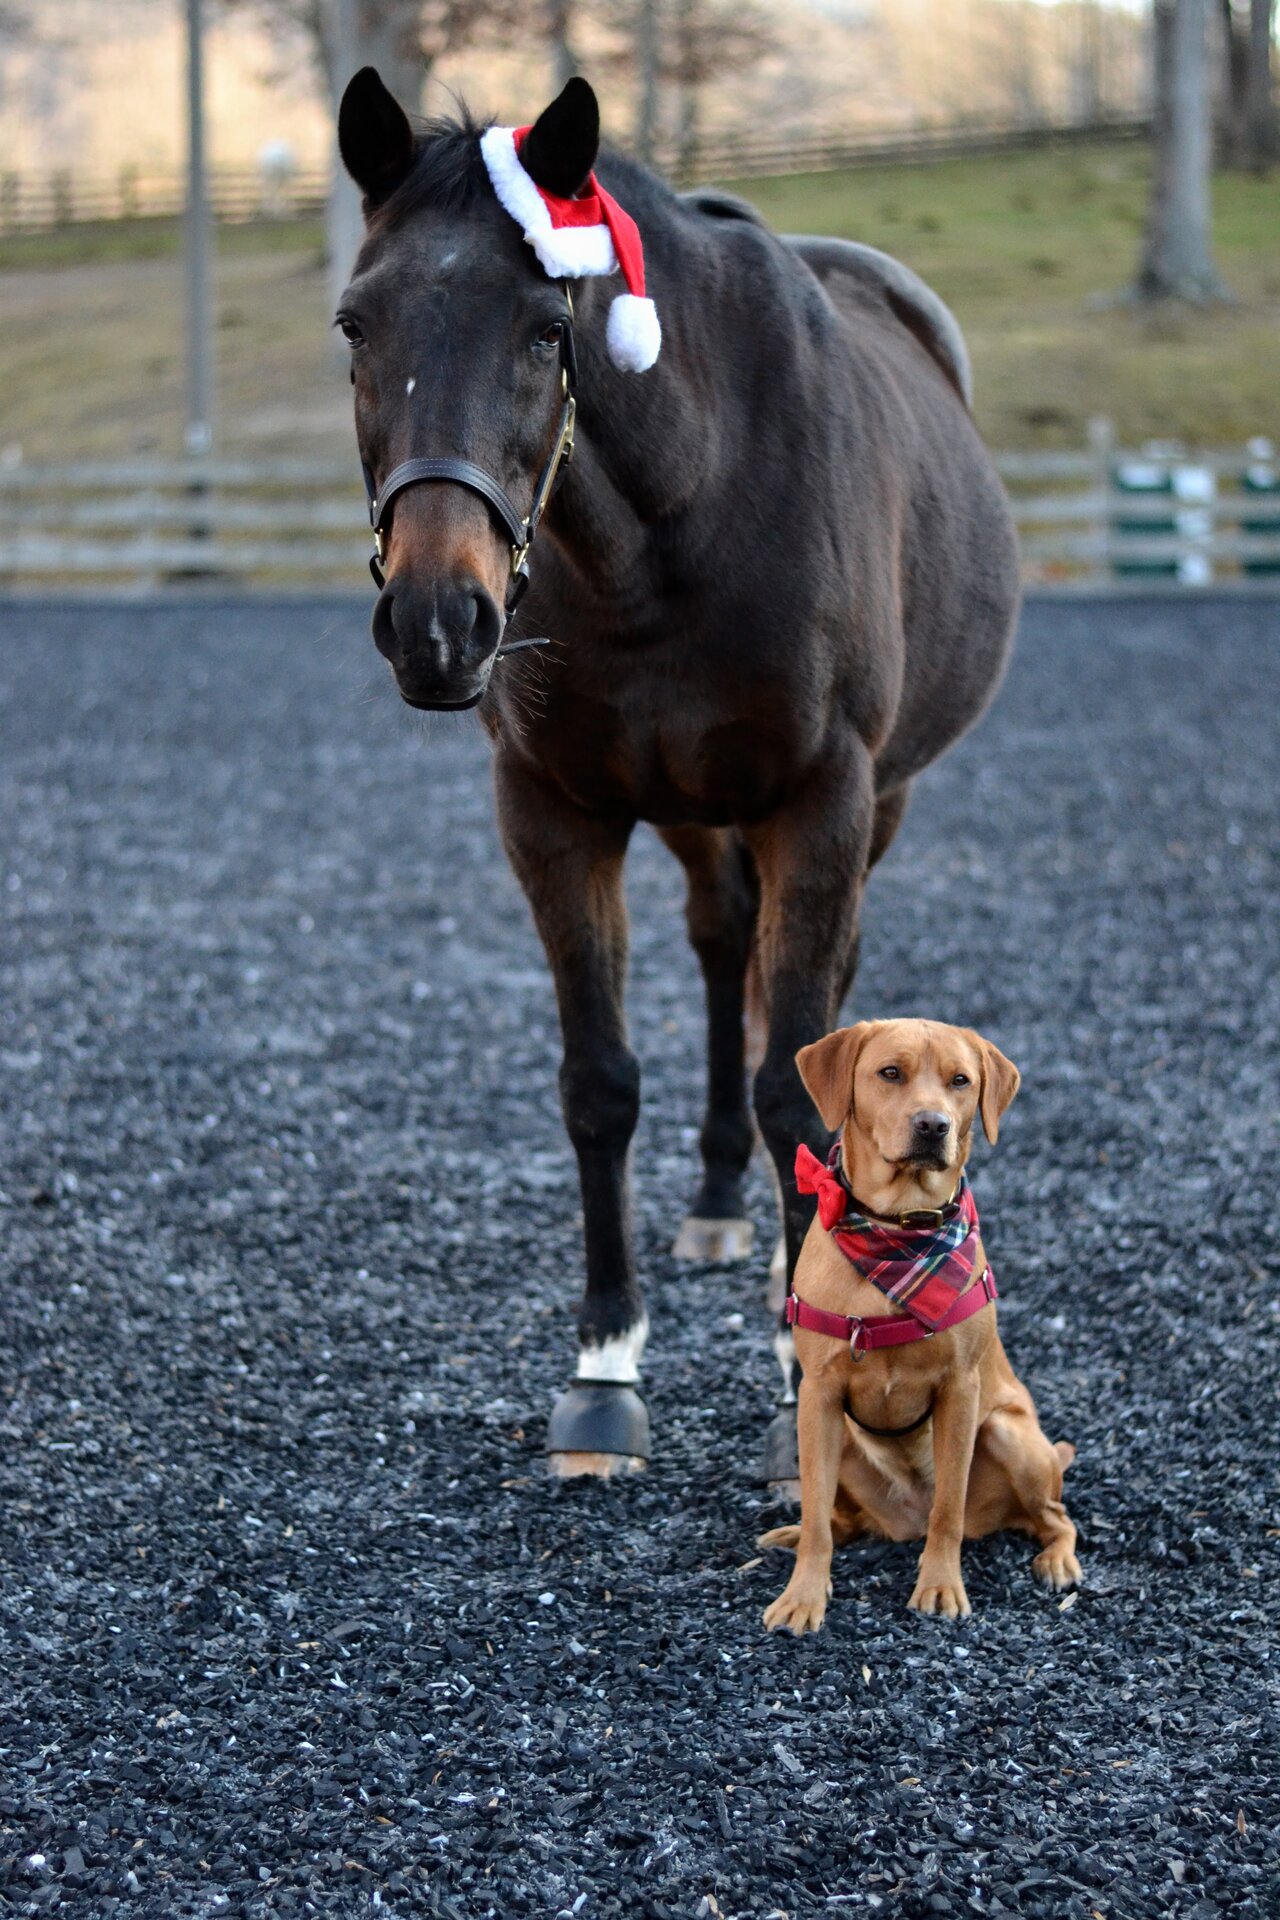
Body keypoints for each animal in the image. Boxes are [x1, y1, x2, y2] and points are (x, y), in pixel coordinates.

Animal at [334, 70, 1020, 1479]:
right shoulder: (553, 813)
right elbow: (598, 1086)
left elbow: (797, 1086)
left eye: (548, 329)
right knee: (720, 946)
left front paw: (797, 1359)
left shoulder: (820, 801)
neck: (673, 524)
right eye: (354, 324)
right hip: (700, 815)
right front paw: (603, 1371)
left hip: (872, 804)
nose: (437, 624)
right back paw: (713, 1203)